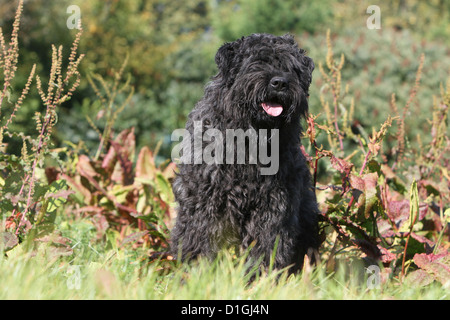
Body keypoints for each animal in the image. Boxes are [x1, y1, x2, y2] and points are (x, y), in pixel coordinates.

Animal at [171, 33, 318, 274]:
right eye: (257, 61)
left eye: (291, 67)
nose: (279, 82)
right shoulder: (203, 198)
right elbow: (198, 234)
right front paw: (194, 271)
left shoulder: (273, 204)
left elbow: (267, 243)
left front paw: (260, 277)